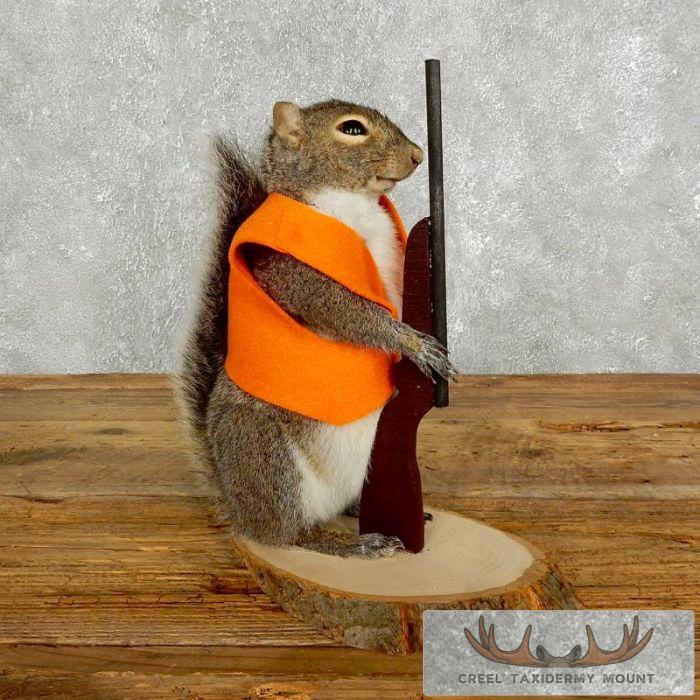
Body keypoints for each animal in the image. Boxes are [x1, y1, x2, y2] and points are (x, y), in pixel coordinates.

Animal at [177, 99, 456, 559]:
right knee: (288, 535)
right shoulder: (293, 273)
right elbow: (349, 313)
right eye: (352, 129)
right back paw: (354, 544)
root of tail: (237, 507)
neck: (354, 205)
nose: (419, 155)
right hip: (269, 459)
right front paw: (416, 345)